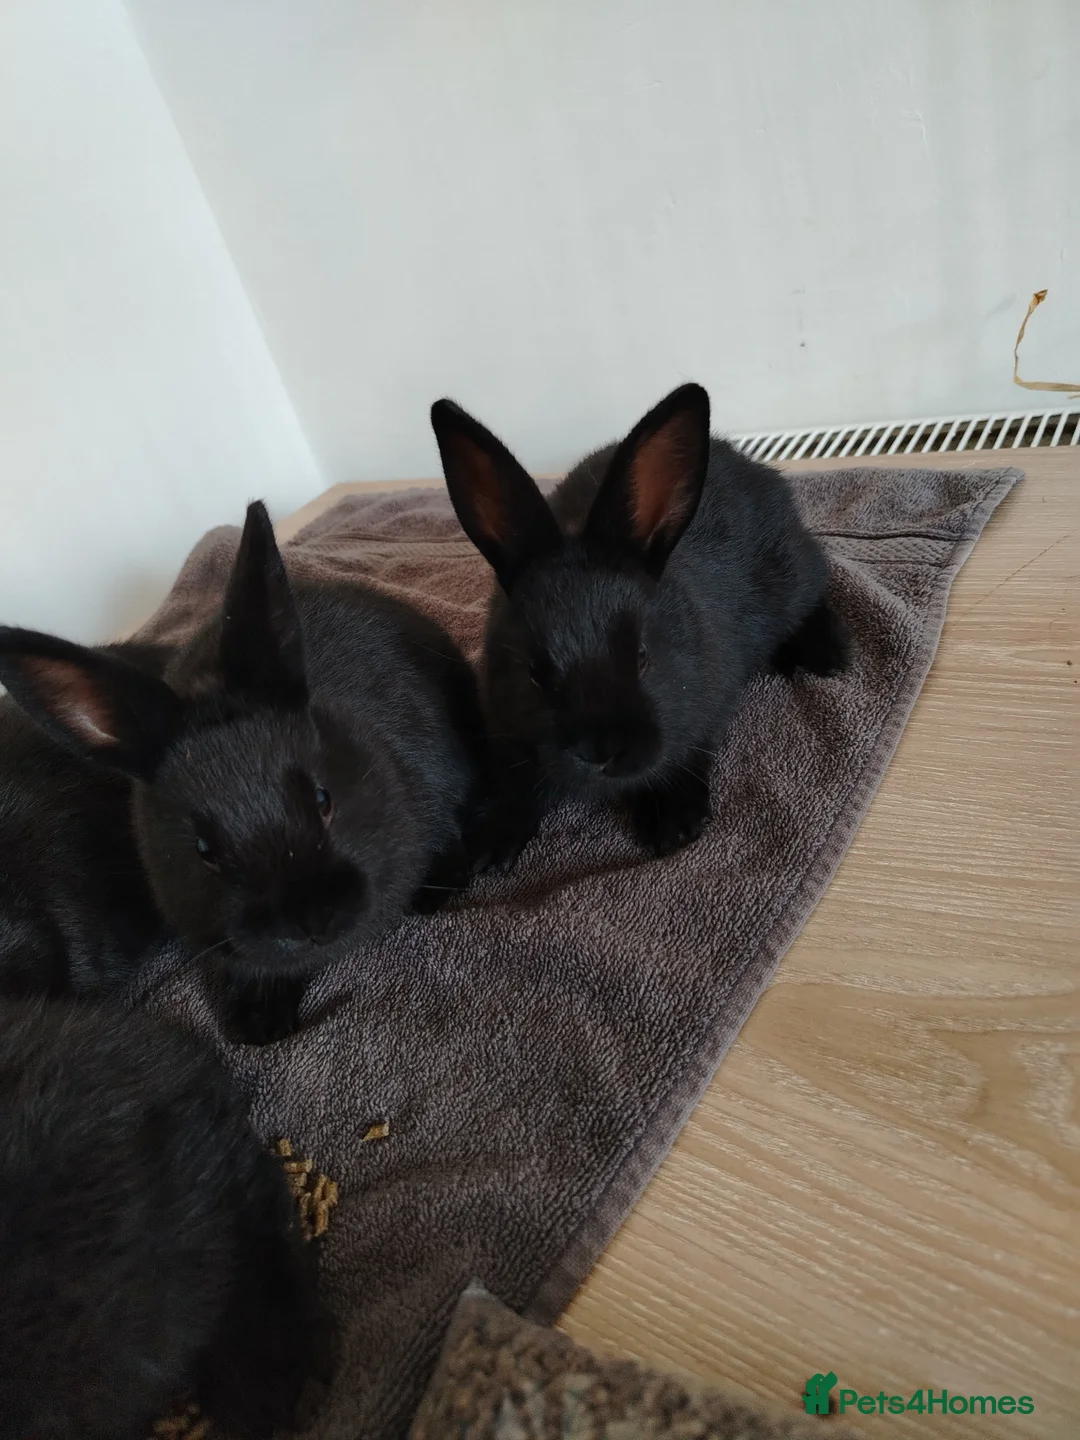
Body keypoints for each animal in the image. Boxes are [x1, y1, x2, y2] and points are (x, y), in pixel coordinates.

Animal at [430, 382, 848, 871]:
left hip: (792, 575)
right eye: (533, 671)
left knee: (817, 586)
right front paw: (487, 846)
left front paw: (673, 823)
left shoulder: (701, 714)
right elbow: (517, 784)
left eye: (643, 656)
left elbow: (685, 754)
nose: (600, 750)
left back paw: (827, 655)